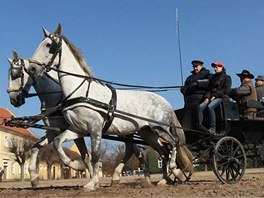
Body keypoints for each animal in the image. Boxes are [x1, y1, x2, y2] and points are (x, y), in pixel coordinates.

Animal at [7, 51, 153, 187]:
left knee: (134, 150)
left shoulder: (77, 131)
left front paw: (87, 173)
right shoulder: (54, 131)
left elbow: (84, 155)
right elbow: (35, 147)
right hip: (126, 131)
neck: (59, 98)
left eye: (15, 74)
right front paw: (34, 177)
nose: (13, 100)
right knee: (133, 149)